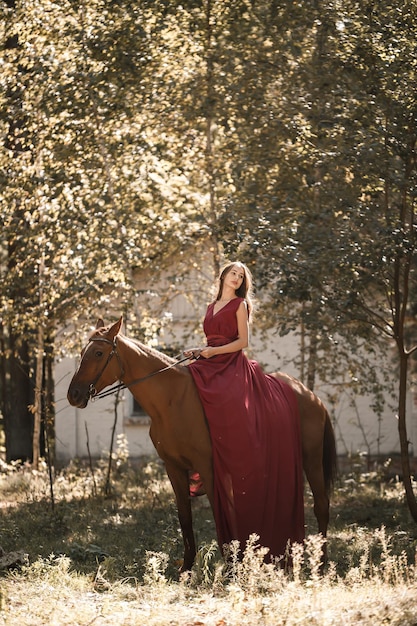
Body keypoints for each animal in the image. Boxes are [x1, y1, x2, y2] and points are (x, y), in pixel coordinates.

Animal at [66, 316, 336, 572]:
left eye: (98, 353)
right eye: (81, 353)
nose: (74, 395)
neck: (172, 400)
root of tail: (310, 395)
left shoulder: (208, 467)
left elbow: (220, 513)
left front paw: (230, 566)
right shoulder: (173, 467)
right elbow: (185, 516)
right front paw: (187, 567)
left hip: (312, 460)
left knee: (321, 505)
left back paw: (320, 563)